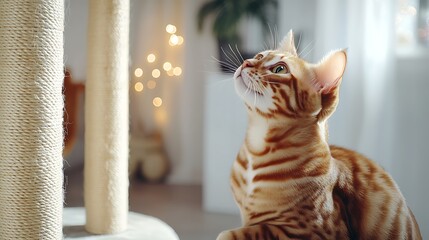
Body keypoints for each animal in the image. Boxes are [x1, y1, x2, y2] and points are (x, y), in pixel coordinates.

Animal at [217, 31, 422, 239]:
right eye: (259, 56)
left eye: (279, 69)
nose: (246, 62)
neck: (255, 149)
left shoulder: (311, 230)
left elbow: (231, 233)